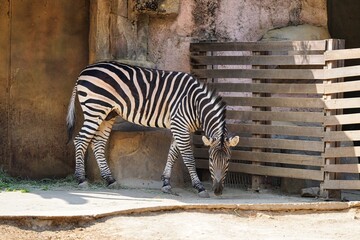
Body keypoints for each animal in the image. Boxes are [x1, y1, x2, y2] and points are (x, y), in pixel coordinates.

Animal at [67, 61, 239, 198]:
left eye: (228, 160)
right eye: (210, 159)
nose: (218, 191)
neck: (195, 104)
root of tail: (85, 70)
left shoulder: (179, 126)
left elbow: (172, 154)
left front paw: (166, 184)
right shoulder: (180, 125)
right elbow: (188, 158)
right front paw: (199, 187)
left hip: (108, 114)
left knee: (98, 144)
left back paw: (110, 179)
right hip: (95, 108)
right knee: (80, 140)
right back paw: (81, 179)